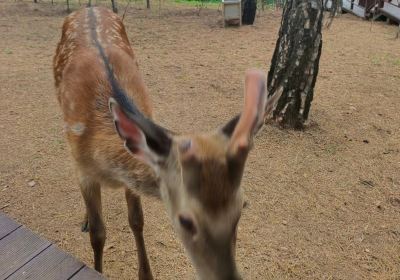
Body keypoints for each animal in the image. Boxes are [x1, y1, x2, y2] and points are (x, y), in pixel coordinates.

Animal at [54, 6, 268, 280]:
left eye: (242, 206)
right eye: (186, 220)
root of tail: (89, 7)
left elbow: (136, 221)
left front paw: (146, 274)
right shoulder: (83, 170)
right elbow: (98, 234)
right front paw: (97, 266)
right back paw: (85, 219)